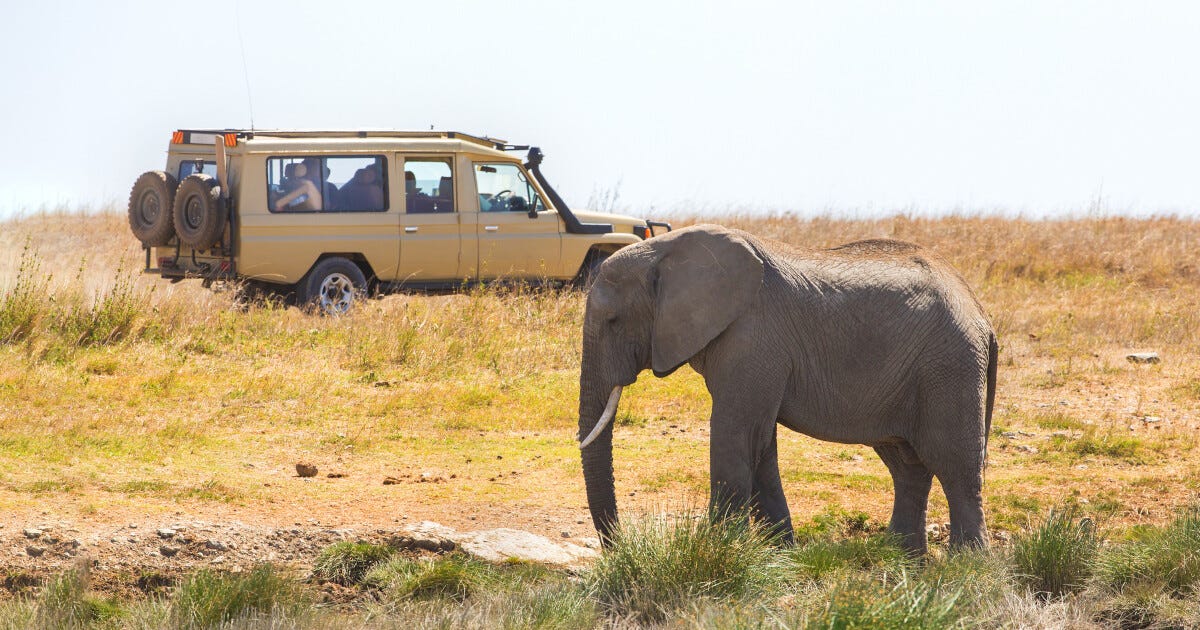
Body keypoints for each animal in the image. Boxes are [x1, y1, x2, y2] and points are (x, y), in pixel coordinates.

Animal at [576, 223, 998, 552]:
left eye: (613, 321)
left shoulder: (754, 336)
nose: (619, 548)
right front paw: (781, 553)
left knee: (954, 466)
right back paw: (903, 561)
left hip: (949, 366)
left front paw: (716, 552)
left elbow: (736, 434)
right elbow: (760, 443)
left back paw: (967, 566)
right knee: (908, 465)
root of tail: (981, 313)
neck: (664, 251)